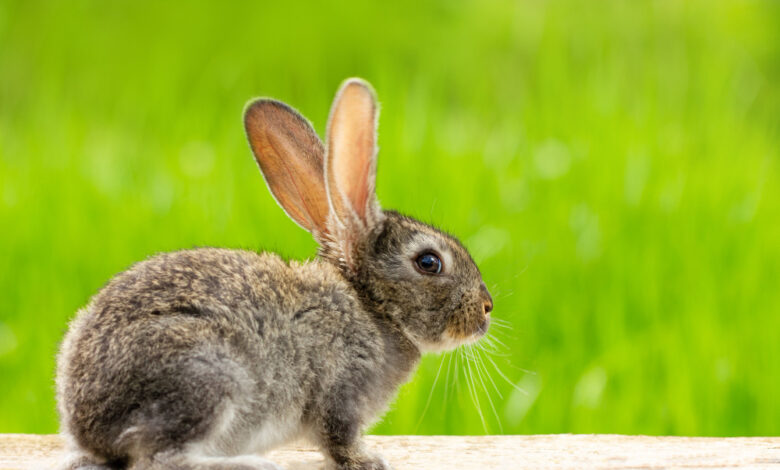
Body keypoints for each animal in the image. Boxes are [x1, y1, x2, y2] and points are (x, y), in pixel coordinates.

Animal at [55, 78, 494, 470]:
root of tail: (88, 422)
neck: (372, 306)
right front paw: (368, 461)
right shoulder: (340, 392)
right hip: (208, 377)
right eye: (429, 262)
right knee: (160, 458)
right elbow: (339, 440)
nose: (487, 308)